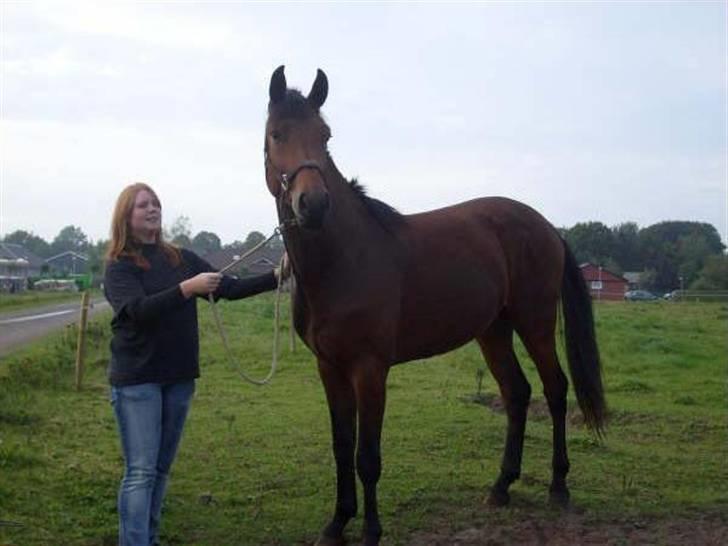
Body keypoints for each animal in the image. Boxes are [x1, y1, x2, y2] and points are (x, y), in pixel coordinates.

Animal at [262, 66, 604, 540]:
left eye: (325, 136)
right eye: (276, 134)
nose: (313, 204)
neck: (343, 259)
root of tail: (547, 227)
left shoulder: (370, 369)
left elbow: (367, 456)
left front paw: (371, 531)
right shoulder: (329, 368)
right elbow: (341, 447)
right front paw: (337, 523)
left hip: (533, 322)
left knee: (554, 389)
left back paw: (558, 486)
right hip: (493, 330)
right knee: (516, 392)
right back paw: (501, 486)